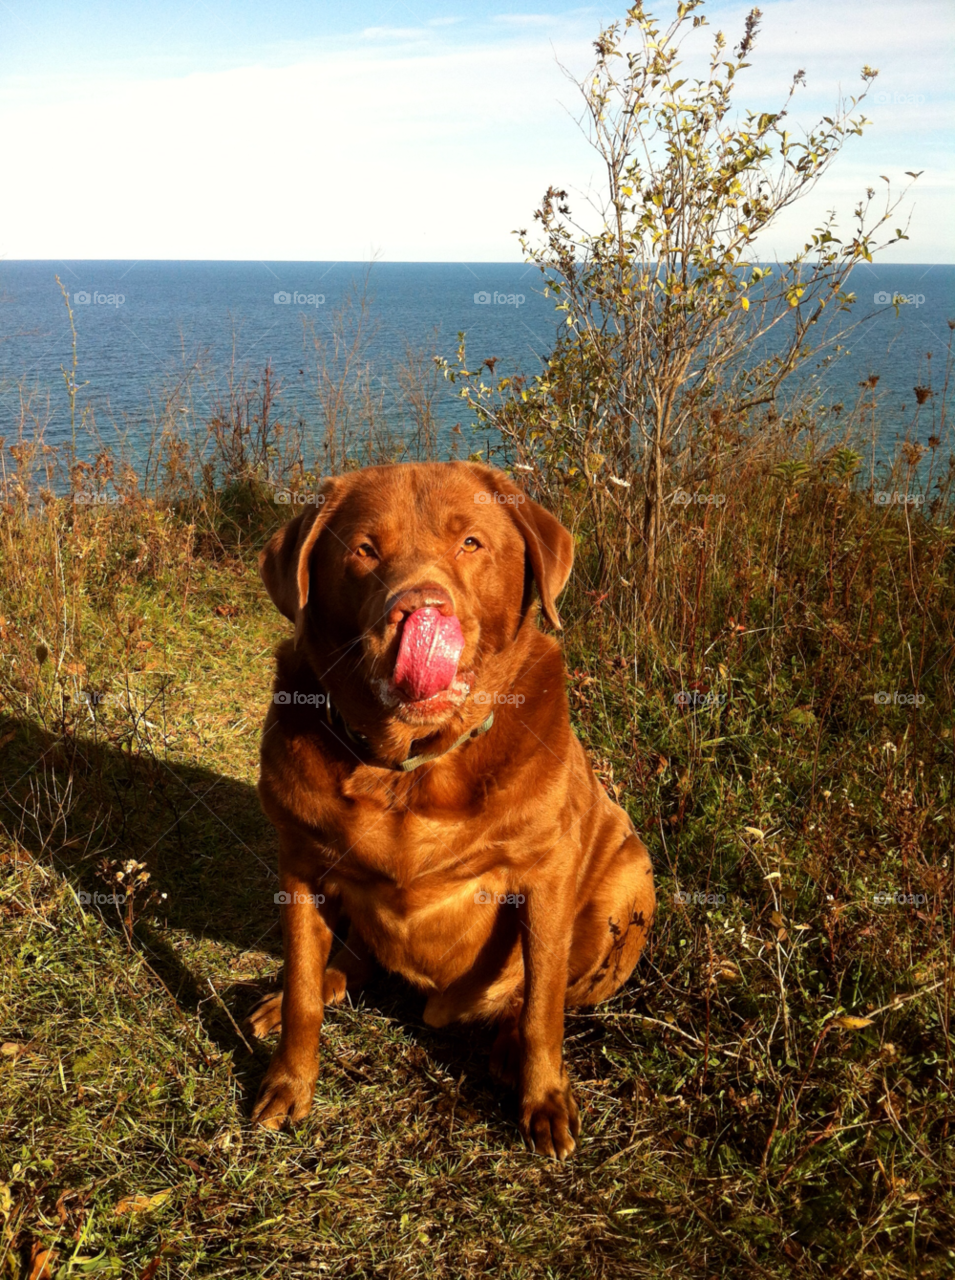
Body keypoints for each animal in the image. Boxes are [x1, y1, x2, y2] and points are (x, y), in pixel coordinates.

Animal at [241, 463, 650, 1162]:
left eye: (471, 544)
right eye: (364, 549)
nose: (421, 610)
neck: (410, 767)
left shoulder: (546, 878)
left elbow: (544, 1006)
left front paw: (543, 1098)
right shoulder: (298, 865)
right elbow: (301, 992)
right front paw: (288, 1081)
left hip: (627, 882)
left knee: (539, 994)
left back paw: (507, 1046)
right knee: (346, 961)